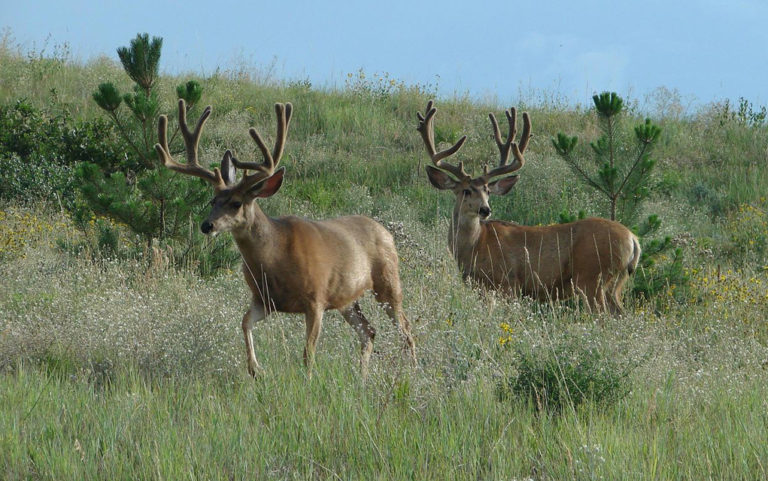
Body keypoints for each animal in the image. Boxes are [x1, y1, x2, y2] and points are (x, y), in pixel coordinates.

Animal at [155, 99, 417, 378]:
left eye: (236, 203)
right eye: (212, 200)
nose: (207, 225)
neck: (276, 259)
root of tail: (385, 230)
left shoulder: (316, 299)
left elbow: (308, 354)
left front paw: (308, 380)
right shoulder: (265, 299)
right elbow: (244, 322)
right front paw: (255, 368)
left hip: (387, 281)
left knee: (406, 330)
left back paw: (413, 370)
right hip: (347, 298)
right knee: (368, 331)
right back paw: (362, 376)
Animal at [416, 100, 641, 315]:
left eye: (487, 190)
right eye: (466, 191)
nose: (485, 210)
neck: (475, 244)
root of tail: (633, 239)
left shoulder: (508, 283)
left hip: (592, 276)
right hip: (615, 282)